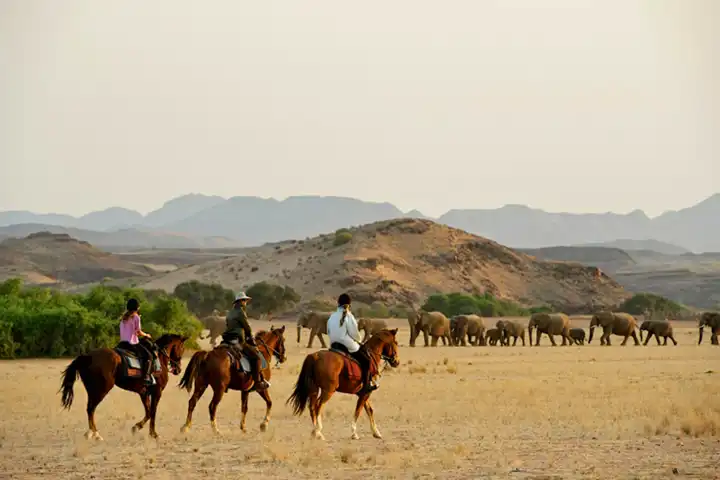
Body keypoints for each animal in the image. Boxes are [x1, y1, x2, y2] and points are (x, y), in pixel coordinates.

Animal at [59, 334, 188, 440]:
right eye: (182, 348)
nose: (178, 369)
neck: (159, 358)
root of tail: (86, 357)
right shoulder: (157, 392)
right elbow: (153, 412)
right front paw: (153, 434)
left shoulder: (143, 392)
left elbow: (148, 412)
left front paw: (136, 427)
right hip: (101, 390)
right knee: (91, 409)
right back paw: (96, 434)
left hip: (92, 390)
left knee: (89, 409)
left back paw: (90, 433)